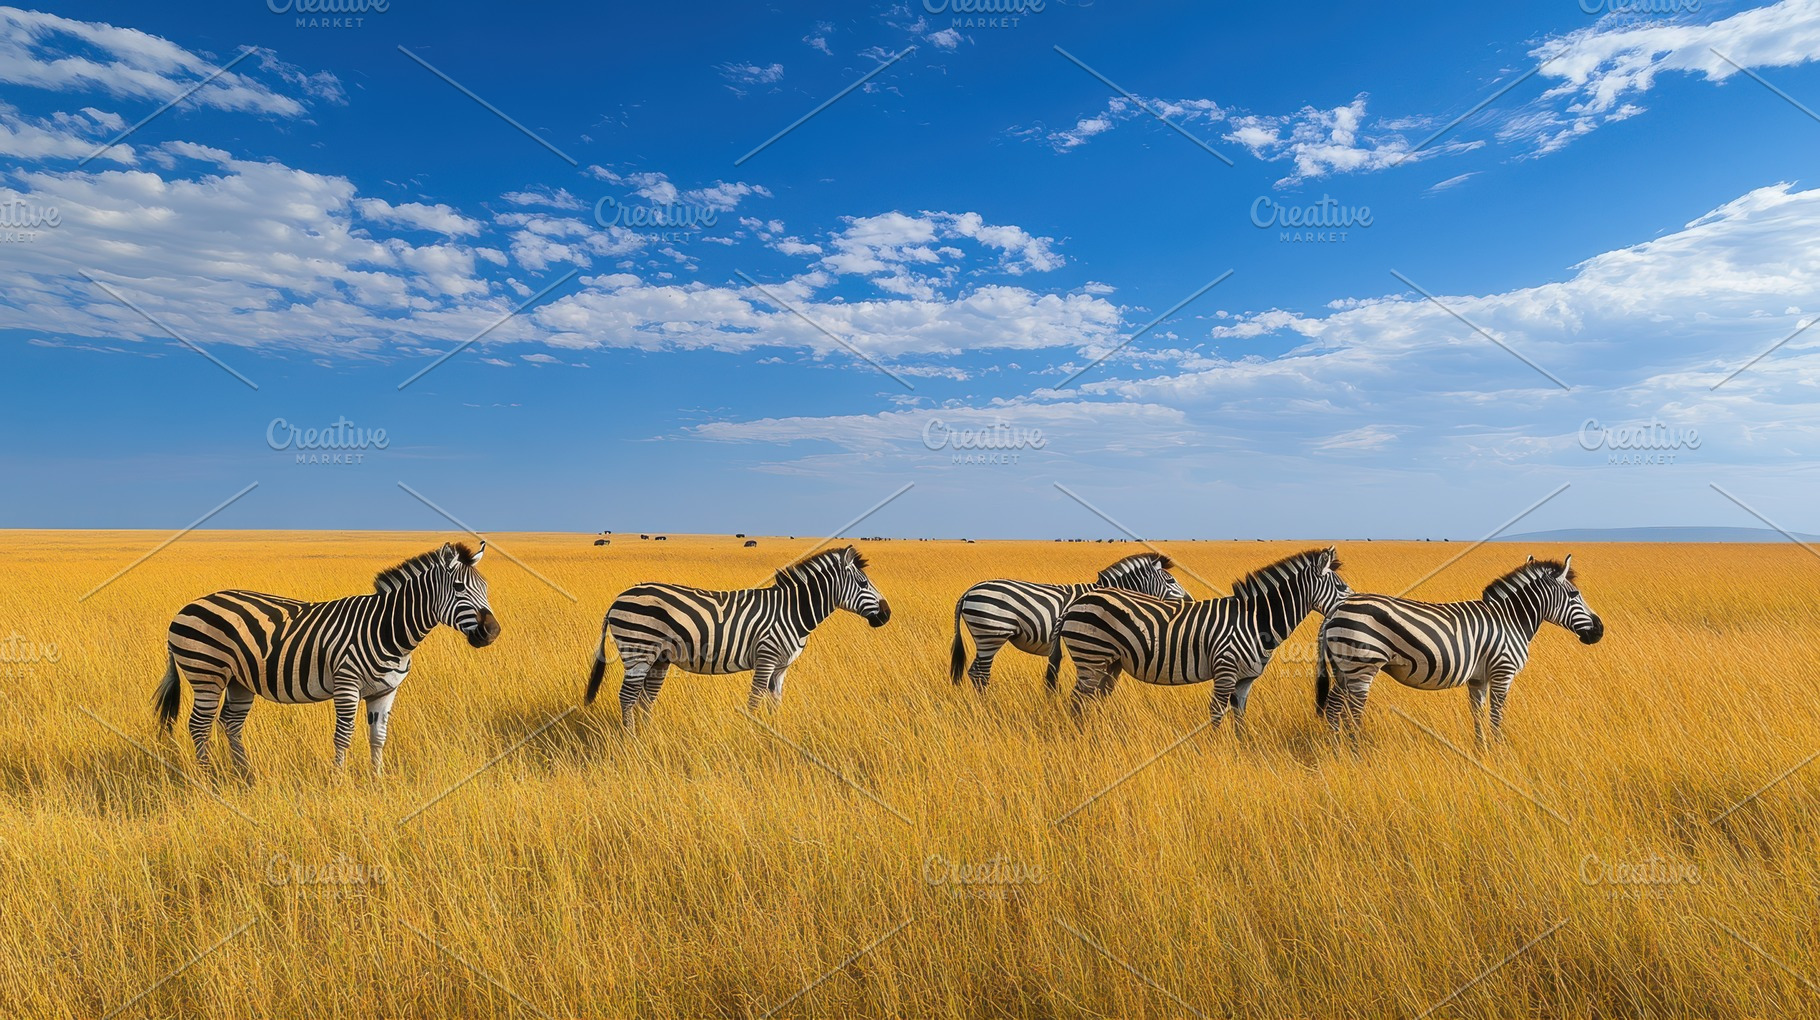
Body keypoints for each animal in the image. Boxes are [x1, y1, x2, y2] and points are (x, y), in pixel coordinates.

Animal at [153, 542, 501, 773]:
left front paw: (377, 781)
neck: (387, 630)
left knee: (230, 723)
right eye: (459, 587)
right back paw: (208, 778)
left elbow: (378, 737)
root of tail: (187, 606)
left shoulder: (386, 691)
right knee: (199, 725)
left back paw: (246, 776)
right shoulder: (347, 685)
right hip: (207, 674)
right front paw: (338, 781)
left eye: (485, 587)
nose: (493, 631)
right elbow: (343, 737)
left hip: (239, 681)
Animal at [584, 545, 890, 729]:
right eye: (863, 582)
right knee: (627, 696)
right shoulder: (766, 657)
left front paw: (774, 732)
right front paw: (752, 733)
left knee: (645, 698)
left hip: (659, 658)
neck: (792, 611)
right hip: (639, 649)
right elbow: (755, 699)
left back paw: (647, 735)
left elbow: (775, 701)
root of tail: (618, 598)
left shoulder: (781, 667)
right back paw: (631, 740)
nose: (887, 614)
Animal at [948, 553, 1190, 692]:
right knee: (980, 673)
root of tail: (969, 591)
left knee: (975, 672)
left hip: (986, 637)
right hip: (991, 634)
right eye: (1171, 580)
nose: (1189, 600)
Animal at [1049, 548, 1350, 726]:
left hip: (1108, 662)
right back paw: (1079, 735)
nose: (1353, 605)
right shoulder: (1225, 670)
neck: (1254, 621)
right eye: (1341, 587)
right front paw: (1218, 754)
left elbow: (1239, 718)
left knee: (1092, 699)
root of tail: (1077, 602)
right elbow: (1216, 714)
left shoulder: (1245, 680)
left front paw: (1240, 750)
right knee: (1077, 700)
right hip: (1091, 655)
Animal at [1315, 555, 1603, 745]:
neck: (1511, 619)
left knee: (1334, 707)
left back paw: (1337, 749)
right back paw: (1356, 751)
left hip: (1343, 668)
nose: (1599, 630)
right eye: (1575, 594)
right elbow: (1497, 713)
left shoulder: (1479, 677)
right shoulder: (1503, 671)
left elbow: (1478, 713)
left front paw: (1481, 748)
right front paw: (1498, 749)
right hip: (1362, 666)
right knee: (1353, 711)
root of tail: (1335, 609)